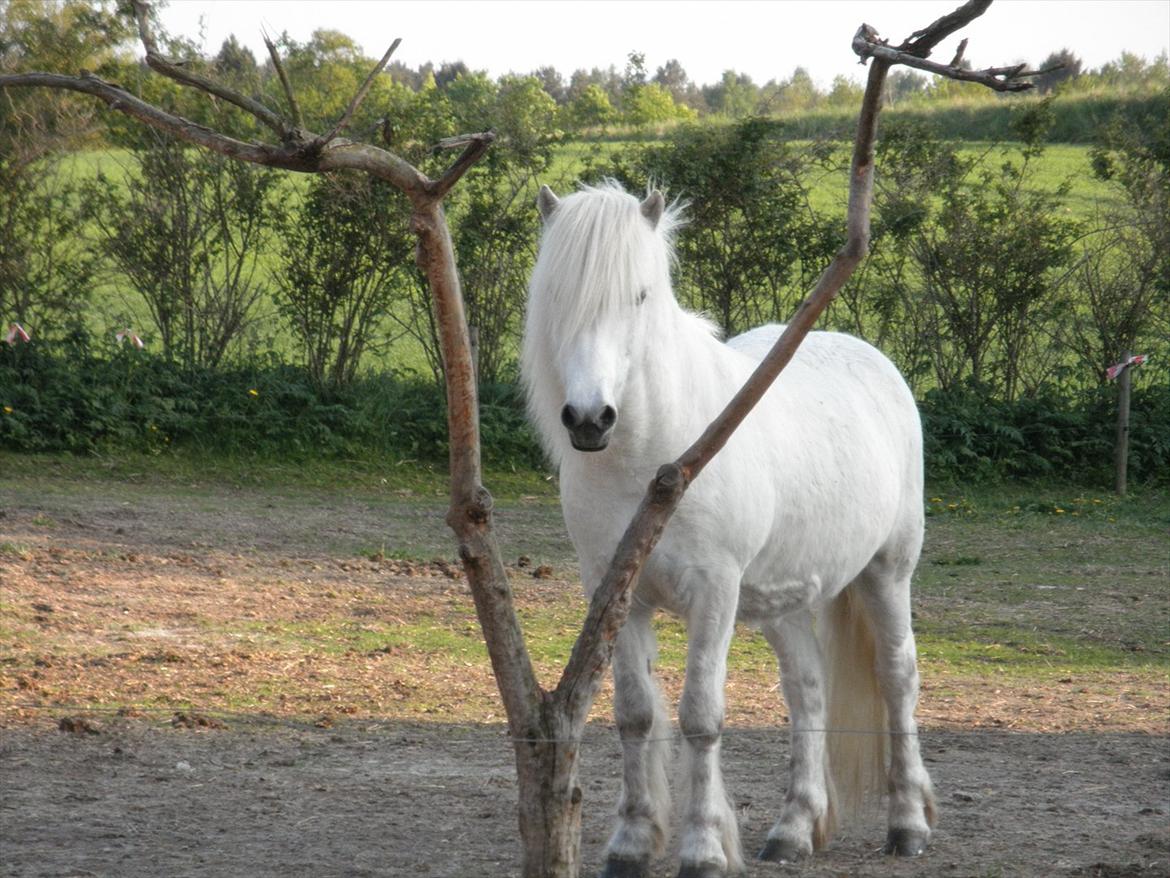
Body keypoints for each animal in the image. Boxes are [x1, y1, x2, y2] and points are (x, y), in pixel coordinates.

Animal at [526, 182, 935, 875]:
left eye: (640, 295)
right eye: (557, 294)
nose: (588, 418)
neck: (657, 459)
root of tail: (872, 359)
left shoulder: (713, 592)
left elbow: (700, 717)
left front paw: (702, 849)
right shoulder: (616, 594)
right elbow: (635, 714)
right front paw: (631, 843)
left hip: (886, 573)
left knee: (897, 678)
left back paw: (907, 824)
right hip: (782, 601)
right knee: (807, 690)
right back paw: (793, 829)